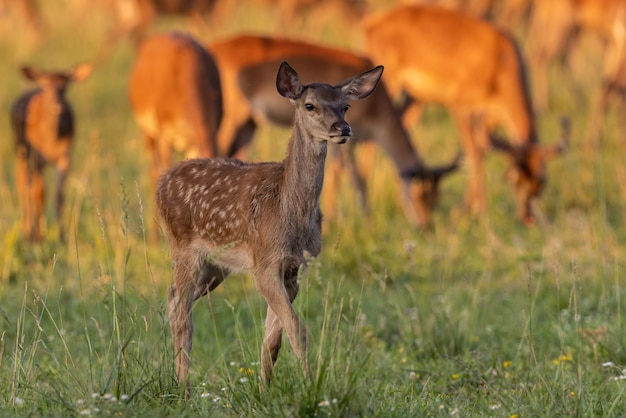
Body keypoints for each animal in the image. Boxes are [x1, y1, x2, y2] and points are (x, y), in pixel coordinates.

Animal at [10, 62, 92, 242]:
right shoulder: (35, 157)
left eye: (65, 86)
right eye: (46, 86)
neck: (50, 143)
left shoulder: (64, 157)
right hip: (21, 151)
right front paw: (39, 236)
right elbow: (40, 193)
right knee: (23, 186)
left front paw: (62, 234)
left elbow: (59, 194)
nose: (57, 106)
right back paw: (27, 232)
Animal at [155, 60, 380, 396]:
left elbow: (274, 337)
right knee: (182, 313)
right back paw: (183, 389)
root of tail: (160, 183)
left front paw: (265, 391)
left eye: (346, 106)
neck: (289, 214)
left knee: (172, 300)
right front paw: (310, 386)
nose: (342, 128)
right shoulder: (264, 263)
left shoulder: (294, 268)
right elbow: (297, 329)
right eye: (310, 105)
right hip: (184, 249)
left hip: (216, 266)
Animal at [210, 34, 458, 229]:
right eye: (419, 195)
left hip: (249, 124)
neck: (377, 109)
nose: (426, 225)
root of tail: (214, 48)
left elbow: (358, 177)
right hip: (232, 117)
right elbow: (348, 176)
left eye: (437, 197)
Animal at [364, 4, 568, 225]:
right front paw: (478, 211)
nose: (527, 217)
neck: (500, 61)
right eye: (517, 181)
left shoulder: (492, 117)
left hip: (413, 98)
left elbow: (481, 149)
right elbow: (474, 155)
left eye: (540, 183)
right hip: (390, 86)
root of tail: (372, 23)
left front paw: (467, 208)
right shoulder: (460, 108)